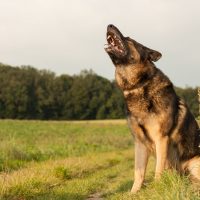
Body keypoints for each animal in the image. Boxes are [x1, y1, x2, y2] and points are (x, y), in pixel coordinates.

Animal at [104, 24, 200, 193]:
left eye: (129, 38)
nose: (109, 25)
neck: (138, 85)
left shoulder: (161, 138)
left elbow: (158, 170)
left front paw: (157, 189)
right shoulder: (140, 143)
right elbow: (139, 173)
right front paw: (134, 193)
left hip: (195, 162)